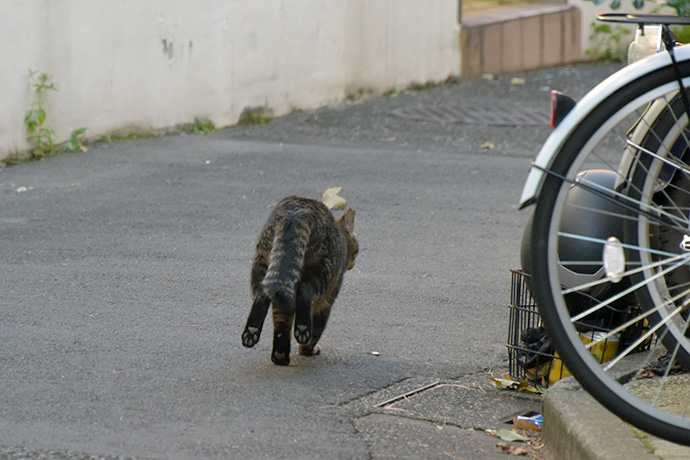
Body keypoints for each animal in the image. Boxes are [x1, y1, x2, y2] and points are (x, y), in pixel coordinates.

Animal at [241, 196, 358, 364]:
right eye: (356, 251)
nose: (353, 264)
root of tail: (297, 213)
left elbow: (282, 319)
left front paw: (281, 352)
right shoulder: (327, 300)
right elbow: (317, 327)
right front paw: (308, 349)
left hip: (263, 264)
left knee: (263, 296)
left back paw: (267, 345)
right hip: (321, 272)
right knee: (305, 293)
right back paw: (302, 331)